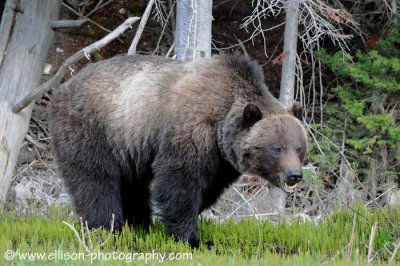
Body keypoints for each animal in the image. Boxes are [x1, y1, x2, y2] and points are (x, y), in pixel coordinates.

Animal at [49, 53, 306, 247]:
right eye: (277, 148)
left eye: (299, 147)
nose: (295, 174)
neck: (221, 122)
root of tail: (64, 85)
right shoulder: (192, 132)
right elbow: (179, 183)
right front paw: (193, 239)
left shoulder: (222, 161)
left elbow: (207, 189)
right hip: (93, 129)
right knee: (94, 179)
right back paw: (107, 228)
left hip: (128, 145)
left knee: (131, 185)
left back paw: (139, 224)